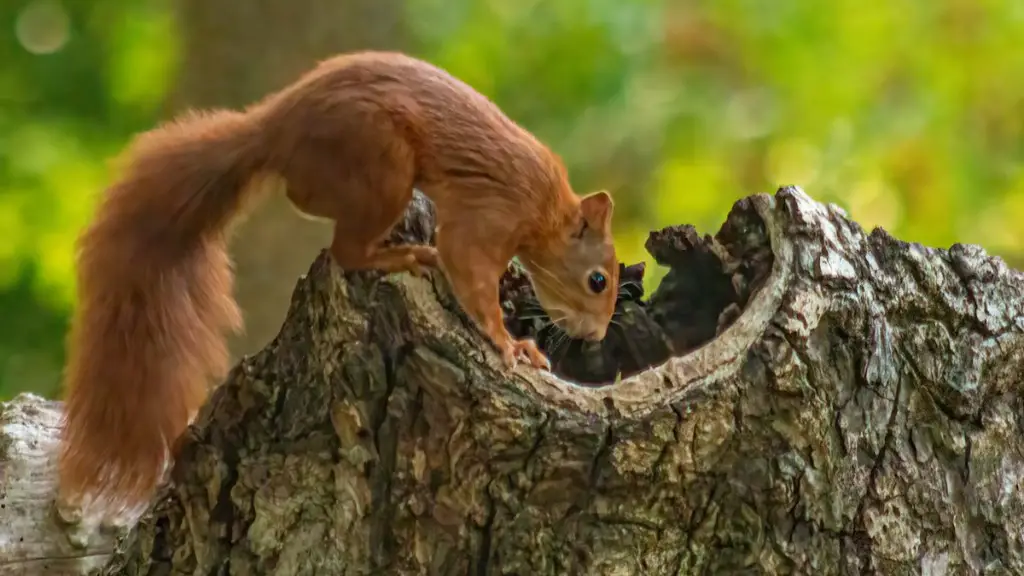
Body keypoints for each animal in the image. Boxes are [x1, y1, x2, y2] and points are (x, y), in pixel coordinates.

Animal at [59, 49, 618, 516]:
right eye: (597, 281)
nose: (595, 336)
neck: (544, 212)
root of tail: (273, 129)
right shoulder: (490, 217)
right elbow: (469, 272)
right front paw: (512, 344)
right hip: (381, 164)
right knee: (344, 247)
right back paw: (404, 254)